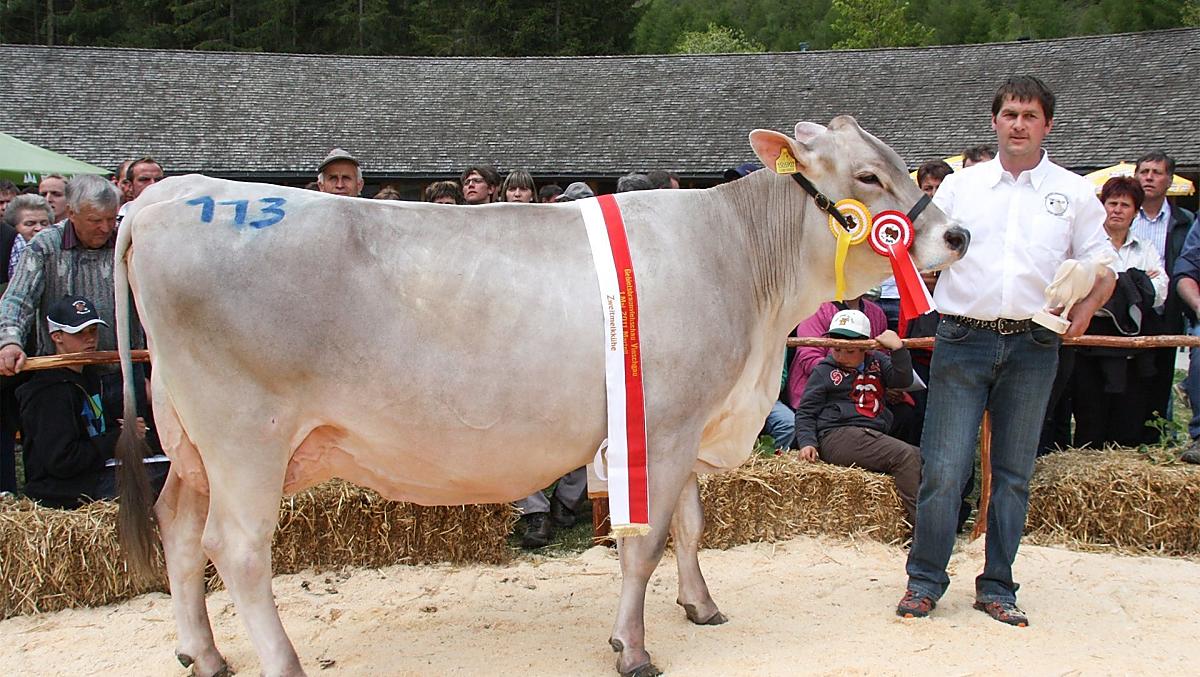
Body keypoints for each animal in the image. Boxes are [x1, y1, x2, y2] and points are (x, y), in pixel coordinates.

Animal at [112, 116, 968, 677]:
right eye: (867, 176)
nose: (957, 236)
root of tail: (161, 199)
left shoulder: (686, 420)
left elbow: (689, 526)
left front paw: (700, 605)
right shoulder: (659, 424)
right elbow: (644, 542)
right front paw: (633, 647)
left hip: (189, 438)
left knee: (178, 529)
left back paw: (202, 651)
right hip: (246, 435)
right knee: (237, 549)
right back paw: (280, 661)